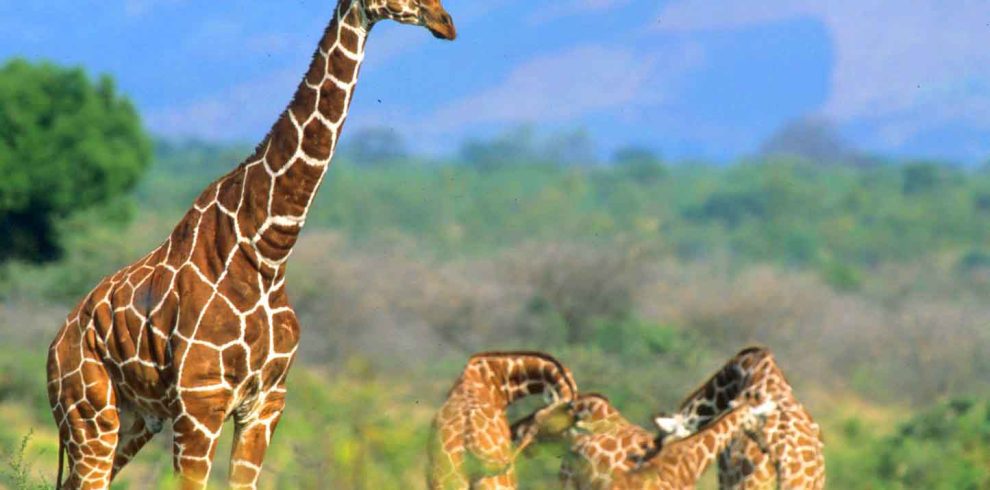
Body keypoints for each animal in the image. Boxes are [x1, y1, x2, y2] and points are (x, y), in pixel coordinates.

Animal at [47, 1, 462, 488]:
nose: (445, 23)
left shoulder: (266, 403)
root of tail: (55, 345)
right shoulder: (199, 404)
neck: (267, 249)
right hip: (89, 417)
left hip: (131, 421)